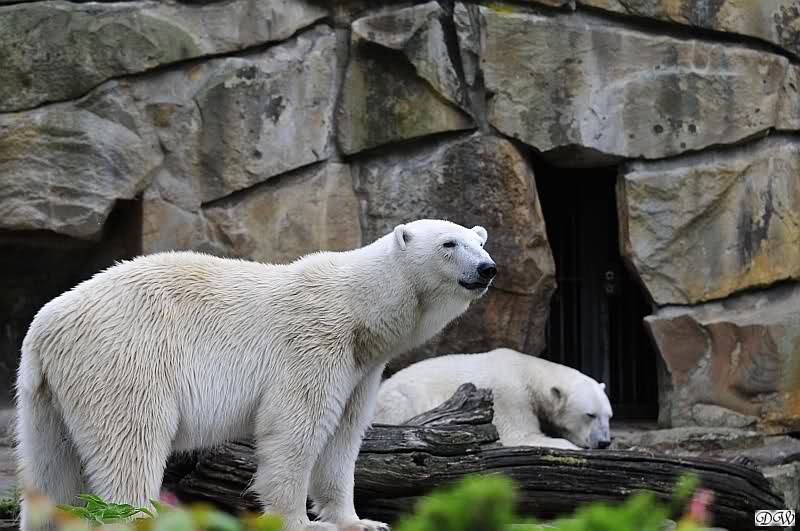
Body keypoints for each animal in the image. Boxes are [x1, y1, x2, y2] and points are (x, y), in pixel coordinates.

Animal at [15, 219, 496, 531]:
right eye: (449, 243)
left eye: (480, 241)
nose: (487, 268)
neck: (361, 309)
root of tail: (44, 325)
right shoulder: (314, 344)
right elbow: (294, 430)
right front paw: (300, 523)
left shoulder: (362, 369)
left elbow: (343, 440)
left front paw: (360, 522)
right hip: (124, 360)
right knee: (131, 441)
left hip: (47, 391)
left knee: (48, 465)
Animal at [373, 348, 612, 450]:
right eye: (590, 414)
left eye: (608, 416)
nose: (604, 442)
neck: (526, 371)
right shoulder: (510, 397)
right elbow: (521, 435)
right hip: (399, 400)